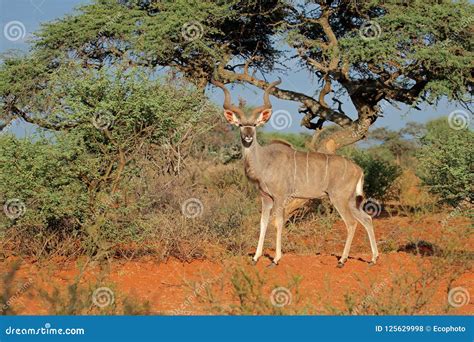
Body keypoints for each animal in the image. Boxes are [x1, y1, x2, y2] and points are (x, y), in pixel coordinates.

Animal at [213, 78, 380, 268]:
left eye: (254, 125)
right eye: (241, 125)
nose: (247, 136)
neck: (264, 160)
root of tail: (358, 169)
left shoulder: (280, 197)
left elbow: (278, 223)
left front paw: (275, 259)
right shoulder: (266, 198)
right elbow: (263, 223)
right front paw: (255, 258)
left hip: (339, 198)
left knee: (351, 223)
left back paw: (342, 261)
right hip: (351, 200)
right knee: (366, 219)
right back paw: (373, 259)